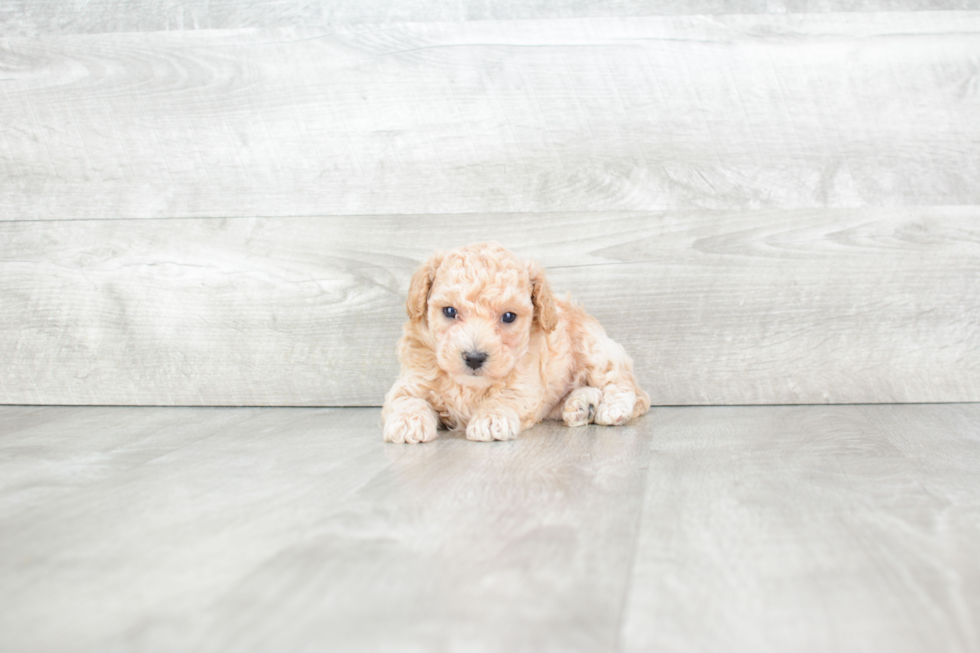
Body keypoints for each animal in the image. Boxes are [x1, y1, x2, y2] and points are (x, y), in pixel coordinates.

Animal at [382, 241, 652, 444]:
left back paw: (612, 409)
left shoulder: (526, 382)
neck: (470, 387)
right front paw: (407, 421)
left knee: (626, 386)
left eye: (509, 316)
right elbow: (405, 399)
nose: (474, 358)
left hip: (595, 350)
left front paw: (491, 418)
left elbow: (506, 397)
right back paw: (583, 405)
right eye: (449, 311)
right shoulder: (412, 380)